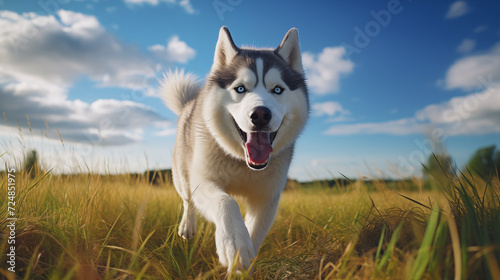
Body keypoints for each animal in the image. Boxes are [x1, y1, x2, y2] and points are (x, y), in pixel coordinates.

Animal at [160, 27, 308, 272]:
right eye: (240, 88)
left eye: (278, 89)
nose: (260, 114)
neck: (243, 164)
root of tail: (189, 103)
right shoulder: (204, 181)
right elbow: (226, 202)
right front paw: (234, 242)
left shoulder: (267, 199)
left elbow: (254, 235)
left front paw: (241, 265)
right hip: (181, 175)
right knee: (187, 200)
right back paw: (187, 226)